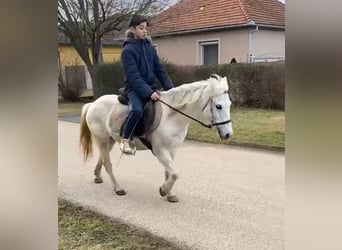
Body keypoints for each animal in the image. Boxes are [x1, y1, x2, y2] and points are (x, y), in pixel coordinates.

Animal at [79, 73, 232, 202]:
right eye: (218, 106)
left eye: (229, 104)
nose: (228, 134)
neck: (171, 116)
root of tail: (93, 104)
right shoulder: (160, 151)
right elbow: (176, 173)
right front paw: (163, 190)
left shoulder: (172, 150)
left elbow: (169, 172)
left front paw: (170, 194)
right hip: (102, 139)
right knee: (108, 164)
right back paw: (118, 188)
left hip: (109, 140)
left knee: (102, 158)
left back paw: (97, 176)